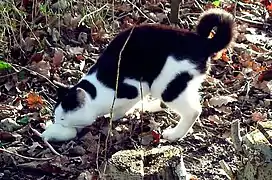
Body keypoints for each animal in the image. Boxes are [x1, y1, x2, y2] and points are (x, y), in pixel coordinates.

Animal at [41, 8, 235, 142]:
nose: (57, 123)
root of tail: (203, 43)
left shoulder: (135, 88)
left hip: (165, 84)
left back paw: (174, 134)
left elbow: (120, 109)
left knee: (194, 110)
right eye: (56, 116)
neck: (95, 90)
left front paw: (114, 116)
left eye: (63, 118)